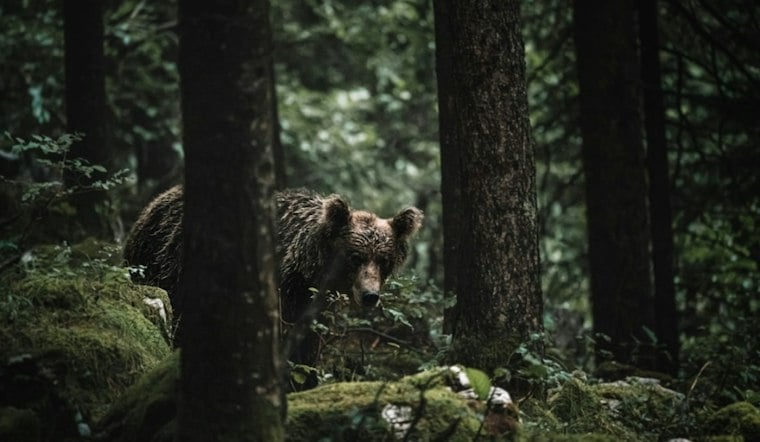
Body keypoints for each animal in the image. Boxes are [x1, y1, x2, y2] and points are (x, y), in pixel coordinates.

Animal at [123, 185, 423, 385]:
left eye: (383, 259)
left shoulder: (313, 307)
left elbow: (308, 348)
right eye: (355, 256)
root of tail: (153, 203)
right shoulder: (282, 293)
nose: (370, 295)